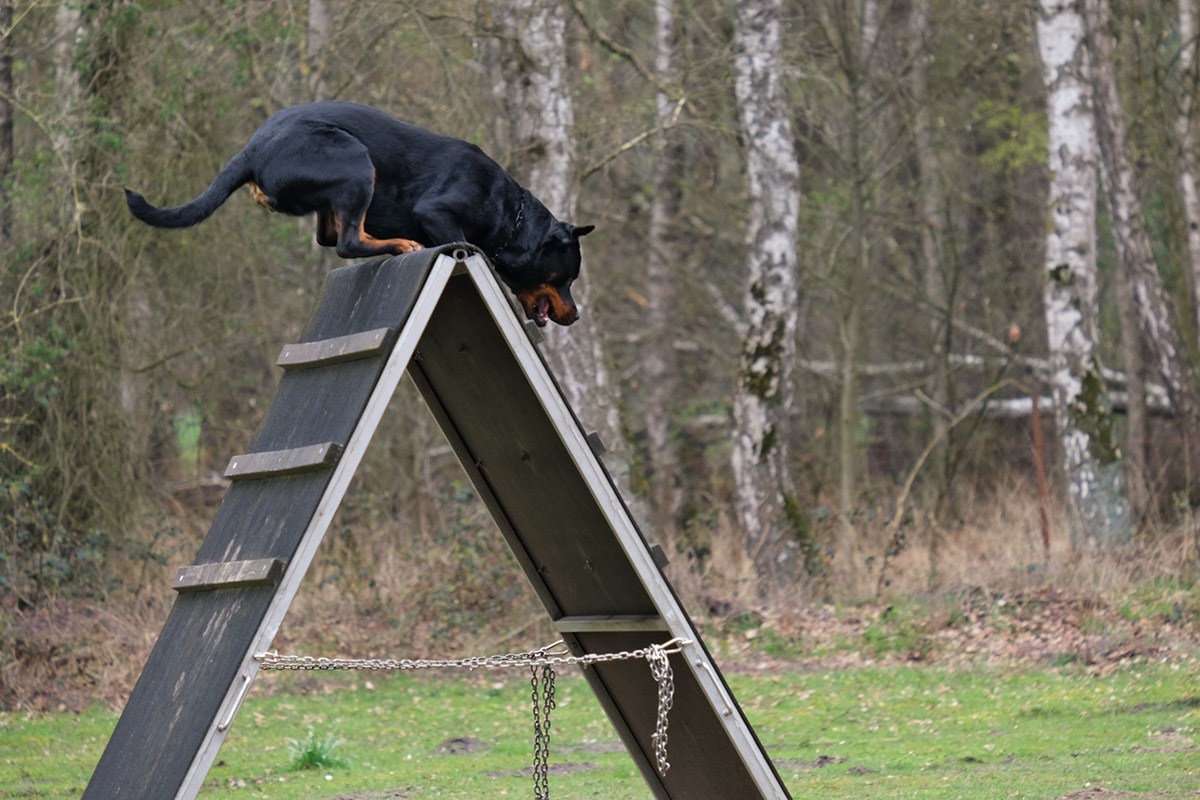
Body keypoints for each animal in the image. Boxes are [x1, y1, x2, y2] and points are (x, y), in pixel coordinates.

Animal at [124, 100, 592, 326]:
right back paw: (401, 244)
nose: (575, 315)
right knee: (347, 242)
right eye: (566, 279)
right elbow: (466, 245)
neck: (511, 216)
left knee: (330, 237)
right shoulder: (437, 210)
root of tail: (251, 151)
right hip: (354, 161)